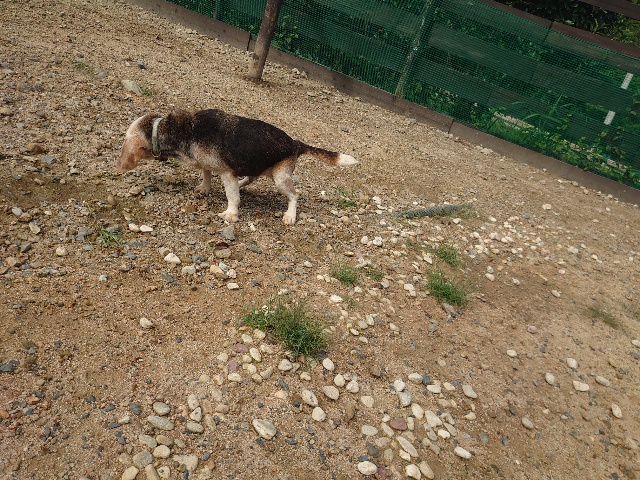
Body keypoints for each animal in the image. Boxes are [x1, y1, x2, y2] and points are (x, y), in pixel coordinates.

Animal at [117, 109, 357, 225]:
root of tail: (295, 143)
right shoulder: (209, 163)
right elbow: (206, 172)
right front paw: (205, 188)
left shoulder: (227, 172)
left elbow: (232, 197)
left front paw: (231, 214)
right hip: (257, 167)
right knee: (250, 178)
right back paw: (243, 184)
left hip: (281, 177)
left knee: (294, 195)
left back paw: (290, 215)